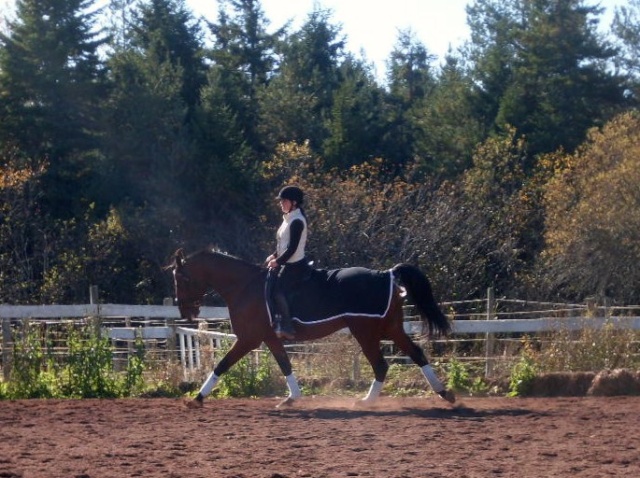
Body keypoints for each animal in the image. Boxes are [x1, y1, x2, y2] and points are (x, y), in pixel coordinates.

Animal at [170, 248, 456, 408]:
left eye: (181, 279)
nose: (186, 313)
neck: (244, 286)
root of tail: (387, 274)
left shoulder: (249, 338)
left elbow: (222, 365)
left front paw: (196, 399)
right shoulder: (269, 338)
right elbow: (285, 364)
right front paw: (292, 398)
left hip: (366, 332)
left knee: (381, 365)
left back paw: (366, 402)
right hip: (391, 328)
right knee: (417, 354)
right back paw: (444, 393)